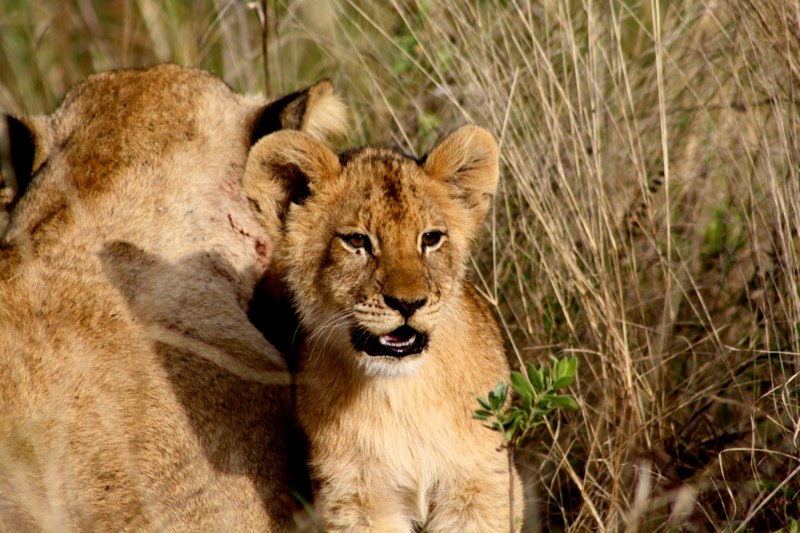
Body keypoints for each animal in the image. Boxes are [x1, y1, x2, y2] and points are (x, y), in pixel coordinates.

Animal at [243, 126, 524, 532]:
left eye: (430, 238)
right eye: (357, 240)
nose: (408, 304)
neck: (403, 394)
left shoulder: (483, 488)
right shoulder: (356, 500)